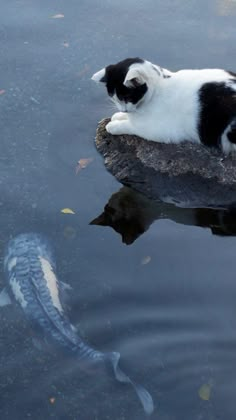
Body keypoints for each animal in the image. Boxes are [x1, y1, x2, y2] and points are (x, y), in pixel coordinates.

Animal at [91, 57, 236, 153]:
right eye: (114, 98)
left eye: (127, 98)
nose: (124, 110)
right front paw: (119, 116)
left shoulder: (157, 131)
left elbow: (131, 126)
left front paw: (114, 126)